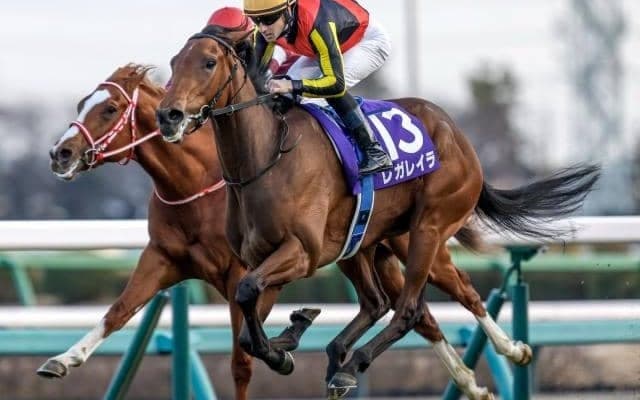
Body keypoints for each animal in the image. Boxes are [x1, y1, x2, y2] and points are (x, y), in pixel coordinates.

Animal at [45, 63, 499, 400]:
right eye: (84, 103)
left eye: (109, 109)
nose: (60, 153)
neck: (196, 182)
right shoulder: (163, 258)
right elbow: (119, 311)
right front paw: (65, 359)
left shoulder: (248, 270)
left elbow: (242, 357)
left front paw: (285, 346)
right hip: (363, 247)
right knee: (409, 311)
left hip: (421, 237)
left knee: (458, 292)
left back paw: (504, 354)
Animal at [156, 27, 600, 398]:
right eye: (174, 62)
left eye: (208, 62)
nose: (169, 115)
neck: (266, 158)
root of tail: (454, 131)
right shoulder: (264, 259)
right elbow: (248, 329)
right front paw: (287, 340)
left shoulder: (300, 253)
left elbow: (248, 294)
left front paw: (287, 346)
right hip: (368, 244)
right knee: (406, 300)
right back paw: (483, 367)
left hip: (429, 228)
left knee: (412, 308)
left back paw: (358, 362)